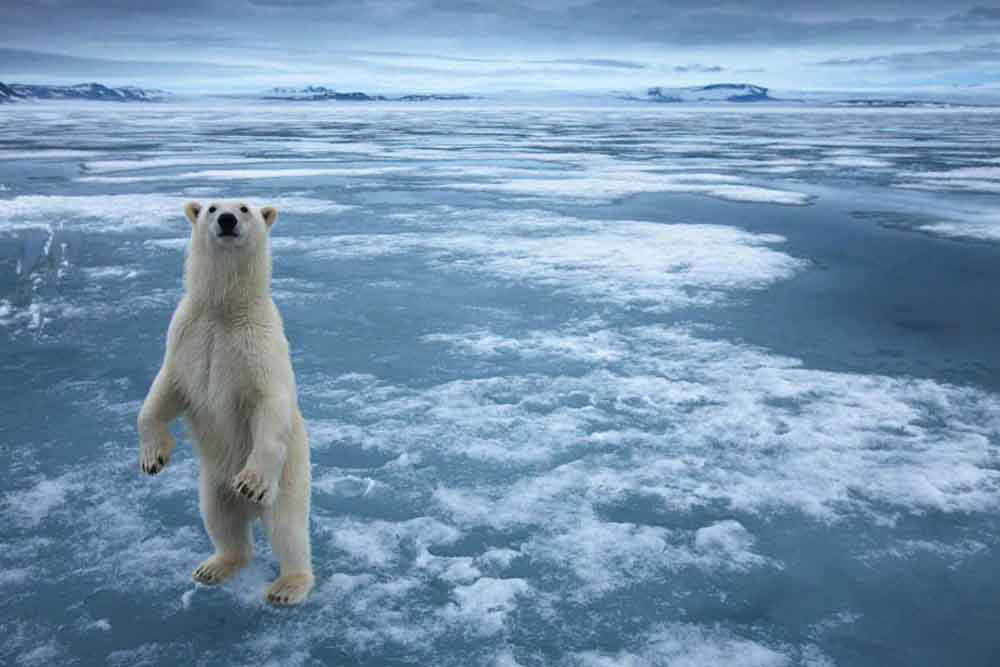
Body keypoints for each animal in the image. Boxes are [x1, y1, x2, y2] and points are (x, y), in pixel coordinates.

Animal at [138, 201, 312, 608]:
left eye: (245, 207)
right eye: (212, 206)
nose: (227, 220)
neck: (224, 309)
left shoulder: (258, 346)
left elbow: (270, 404)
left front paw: (250, 481)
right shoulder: (186, 336)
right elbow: (163, 392)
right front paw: (153, 458)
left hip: (289, 479)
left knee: (287, 529)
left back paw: (288, 586)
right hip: (212, 483)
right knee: (221, 521)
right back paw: (214, 566)